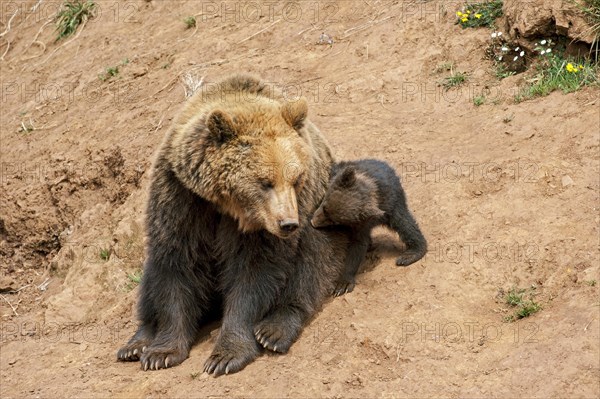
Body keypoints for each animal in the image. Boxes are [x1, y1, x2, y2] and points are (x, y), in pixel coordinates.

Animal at [116, 73, 346, 376]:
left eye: (296, 179)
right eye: (265, 181)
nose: (287, 224)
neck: (227, 205)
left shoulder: (262, 229)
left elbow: (254, 275)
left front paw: (225, 356)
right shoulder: (181, 197)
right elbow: (177, 264)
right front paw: (161, 352)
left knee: (312, 264)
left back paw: (275, 329)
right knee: (150, 277)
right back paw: (135, 344)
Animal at [310, 159, 426, 296]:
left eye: (335, 221)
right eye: (325, 208)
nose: (313, 222)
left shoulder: (364, 222)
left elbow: (357, 246)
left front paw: (344, 282)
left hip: (395, 205)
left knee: (405, 224)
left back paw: (412, 253)